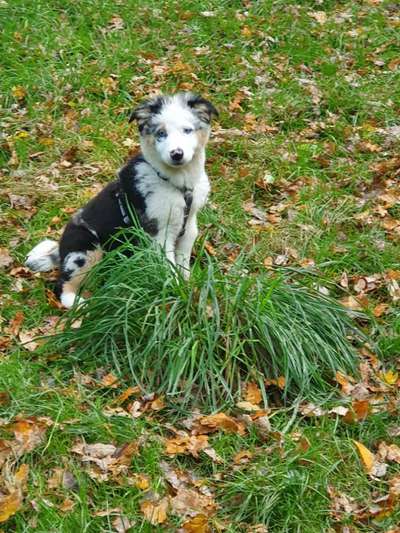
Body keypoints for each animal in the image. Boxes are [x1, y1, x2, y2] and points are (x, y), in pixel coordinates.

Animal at [24, 92, 219, 308]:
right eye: (161, 133)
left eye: (187, 130)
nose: (176, 154)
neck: (177, 183)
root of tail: (60, 248)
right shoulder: (159, 234)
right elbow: (168, 266)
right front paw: (175, 292)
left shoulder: (189, 226)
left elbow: (182, 263)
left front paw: (187, 285)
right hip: (87, 249)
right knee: (62, 286)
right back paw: (82, 305)